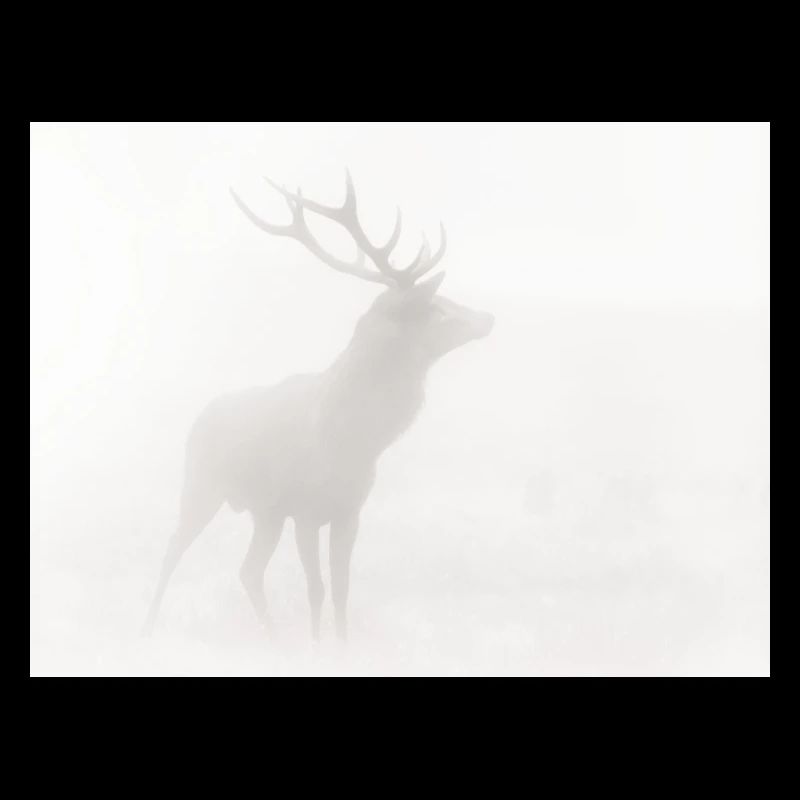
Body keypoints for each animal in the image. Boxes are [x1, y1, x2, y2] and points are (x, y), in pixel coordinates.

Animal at [143, 170, 494, 642]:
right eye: (437, 308)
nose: (488, 318)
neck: (354, 440)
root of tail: (198, 419)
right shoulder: (305, 511)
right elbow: (317, 590)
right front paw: (315, 645)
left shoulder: (348, 511)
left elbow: (342, 589)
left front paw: (340, 645)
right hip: (202, 485)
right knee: (172, 548)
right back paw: (147, 627)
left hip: (265, 514)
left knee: (248, 571)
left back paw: (274, 638)